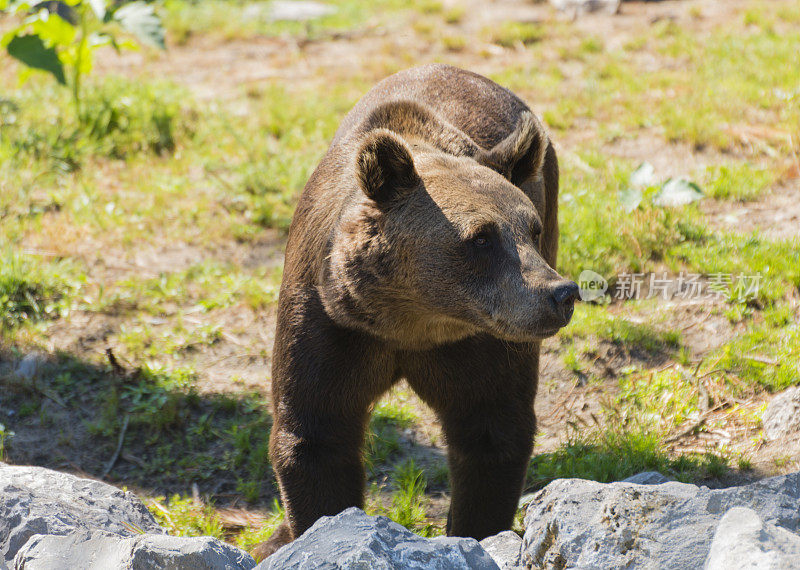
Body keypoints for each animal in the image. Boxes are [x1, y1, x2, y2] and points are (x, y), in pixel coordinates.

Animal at [253, 64, 580, 556]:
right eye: (481, 237)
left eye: (531, 229)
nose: (561, 293)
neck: (411, 319)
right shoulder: (330, 323)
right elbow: (317, 435)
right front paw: (315, 528)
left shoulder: (477, 338)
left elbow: (490, 429)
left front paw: (476, 531)